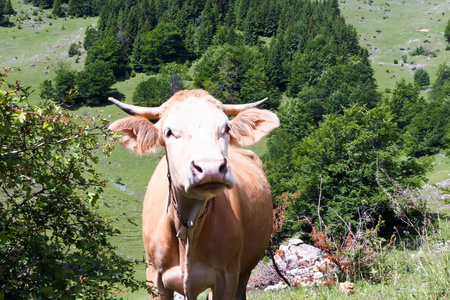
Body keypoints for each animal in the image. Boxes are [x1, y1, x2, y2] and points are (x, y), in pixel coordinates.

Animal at [108, 89, 278, 300]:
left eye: (226, 127)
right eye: (169, 132)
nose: (211, 167)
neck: (188, 226)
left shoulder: (227, 276)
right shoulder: (155, 277)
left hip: (244, 270)